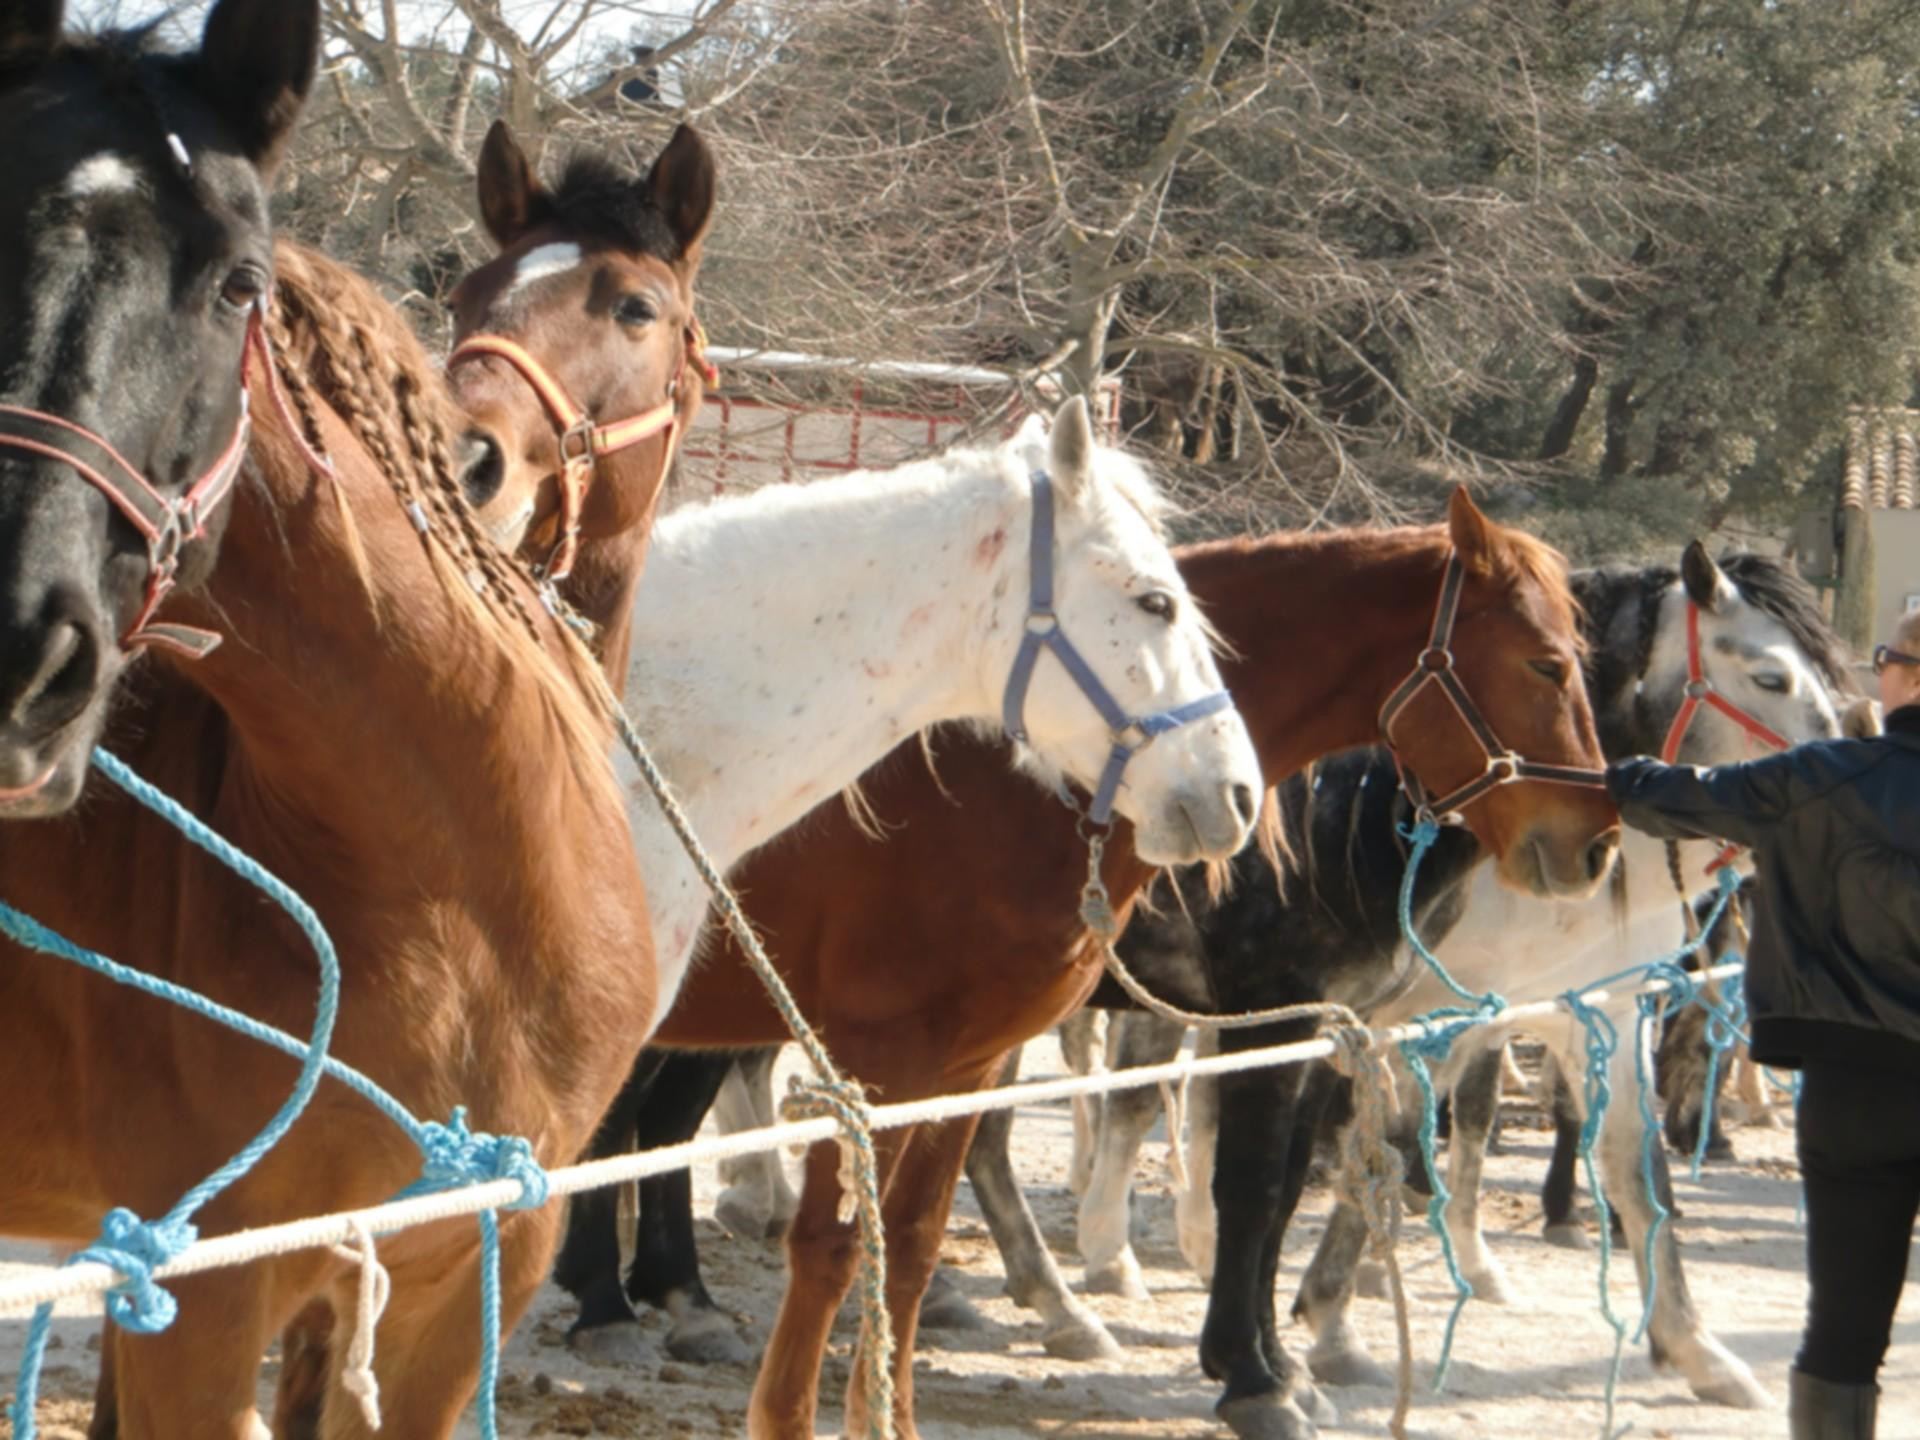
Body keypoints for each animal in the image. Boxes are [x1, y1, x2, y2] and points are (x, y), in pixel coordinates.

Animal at [562, 497, 1618, 1440]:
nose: (1596, 845)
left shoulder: (973, 1065)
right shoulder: (883, 1059)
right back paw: (617, 1305)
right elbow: (839, 1244)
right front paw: (1257, 1379)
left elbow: (911, 1247)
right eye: (1547, 663)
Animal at [1015, 545, 1847, 1437]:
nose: (1841, 775)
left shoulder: (1587, 1007)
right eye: (1770, 677)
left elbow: (1629, 1163)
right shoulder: (1421, 1014)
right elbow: (1383, 1142)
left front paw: (1695, 1349)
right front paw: (1329, 1325)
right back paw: (1091, 1273)